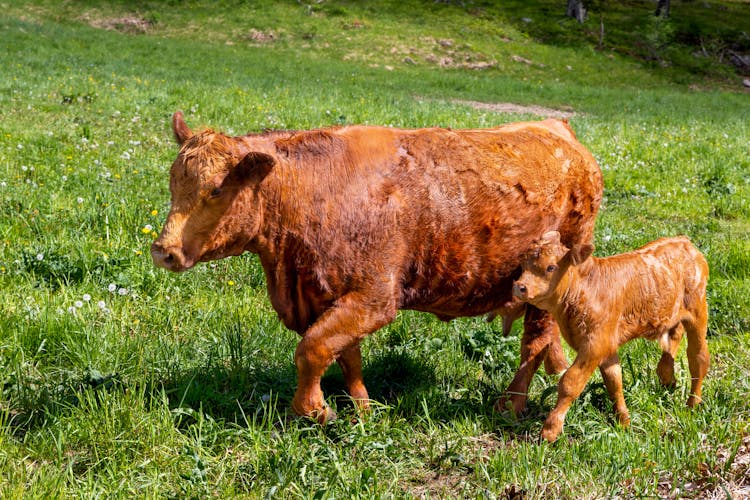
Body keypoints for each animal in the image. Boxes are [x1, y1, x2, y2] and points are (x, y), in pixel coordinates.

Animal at [153, 112, 604, 422]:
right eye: (173, 181)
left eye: (215, 190)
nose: (163, 250)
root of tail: (558, 129)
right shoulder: (332, 298)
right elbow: (343, 354)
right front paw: (363, 408)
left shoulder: (374, 298)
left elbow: (311, 349)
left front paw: (315, 409)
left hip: (544, 287)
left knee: (533, 344)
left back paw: (510, 405)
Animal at [516, 230, 712, 442]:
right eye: (524, 264)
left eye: (551, 267)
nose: (519, 286)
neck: (585, 289)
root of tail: (683, 241)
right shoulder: (607, 345)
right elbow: (614, 381)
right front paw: (624, 422)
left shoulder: (595, 345)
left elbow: (570, 382)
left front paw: (549, 431)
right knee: (673, 337)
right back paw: (667, 377)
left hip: (698, 310)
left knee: (698, 357)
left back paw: (693, 404)